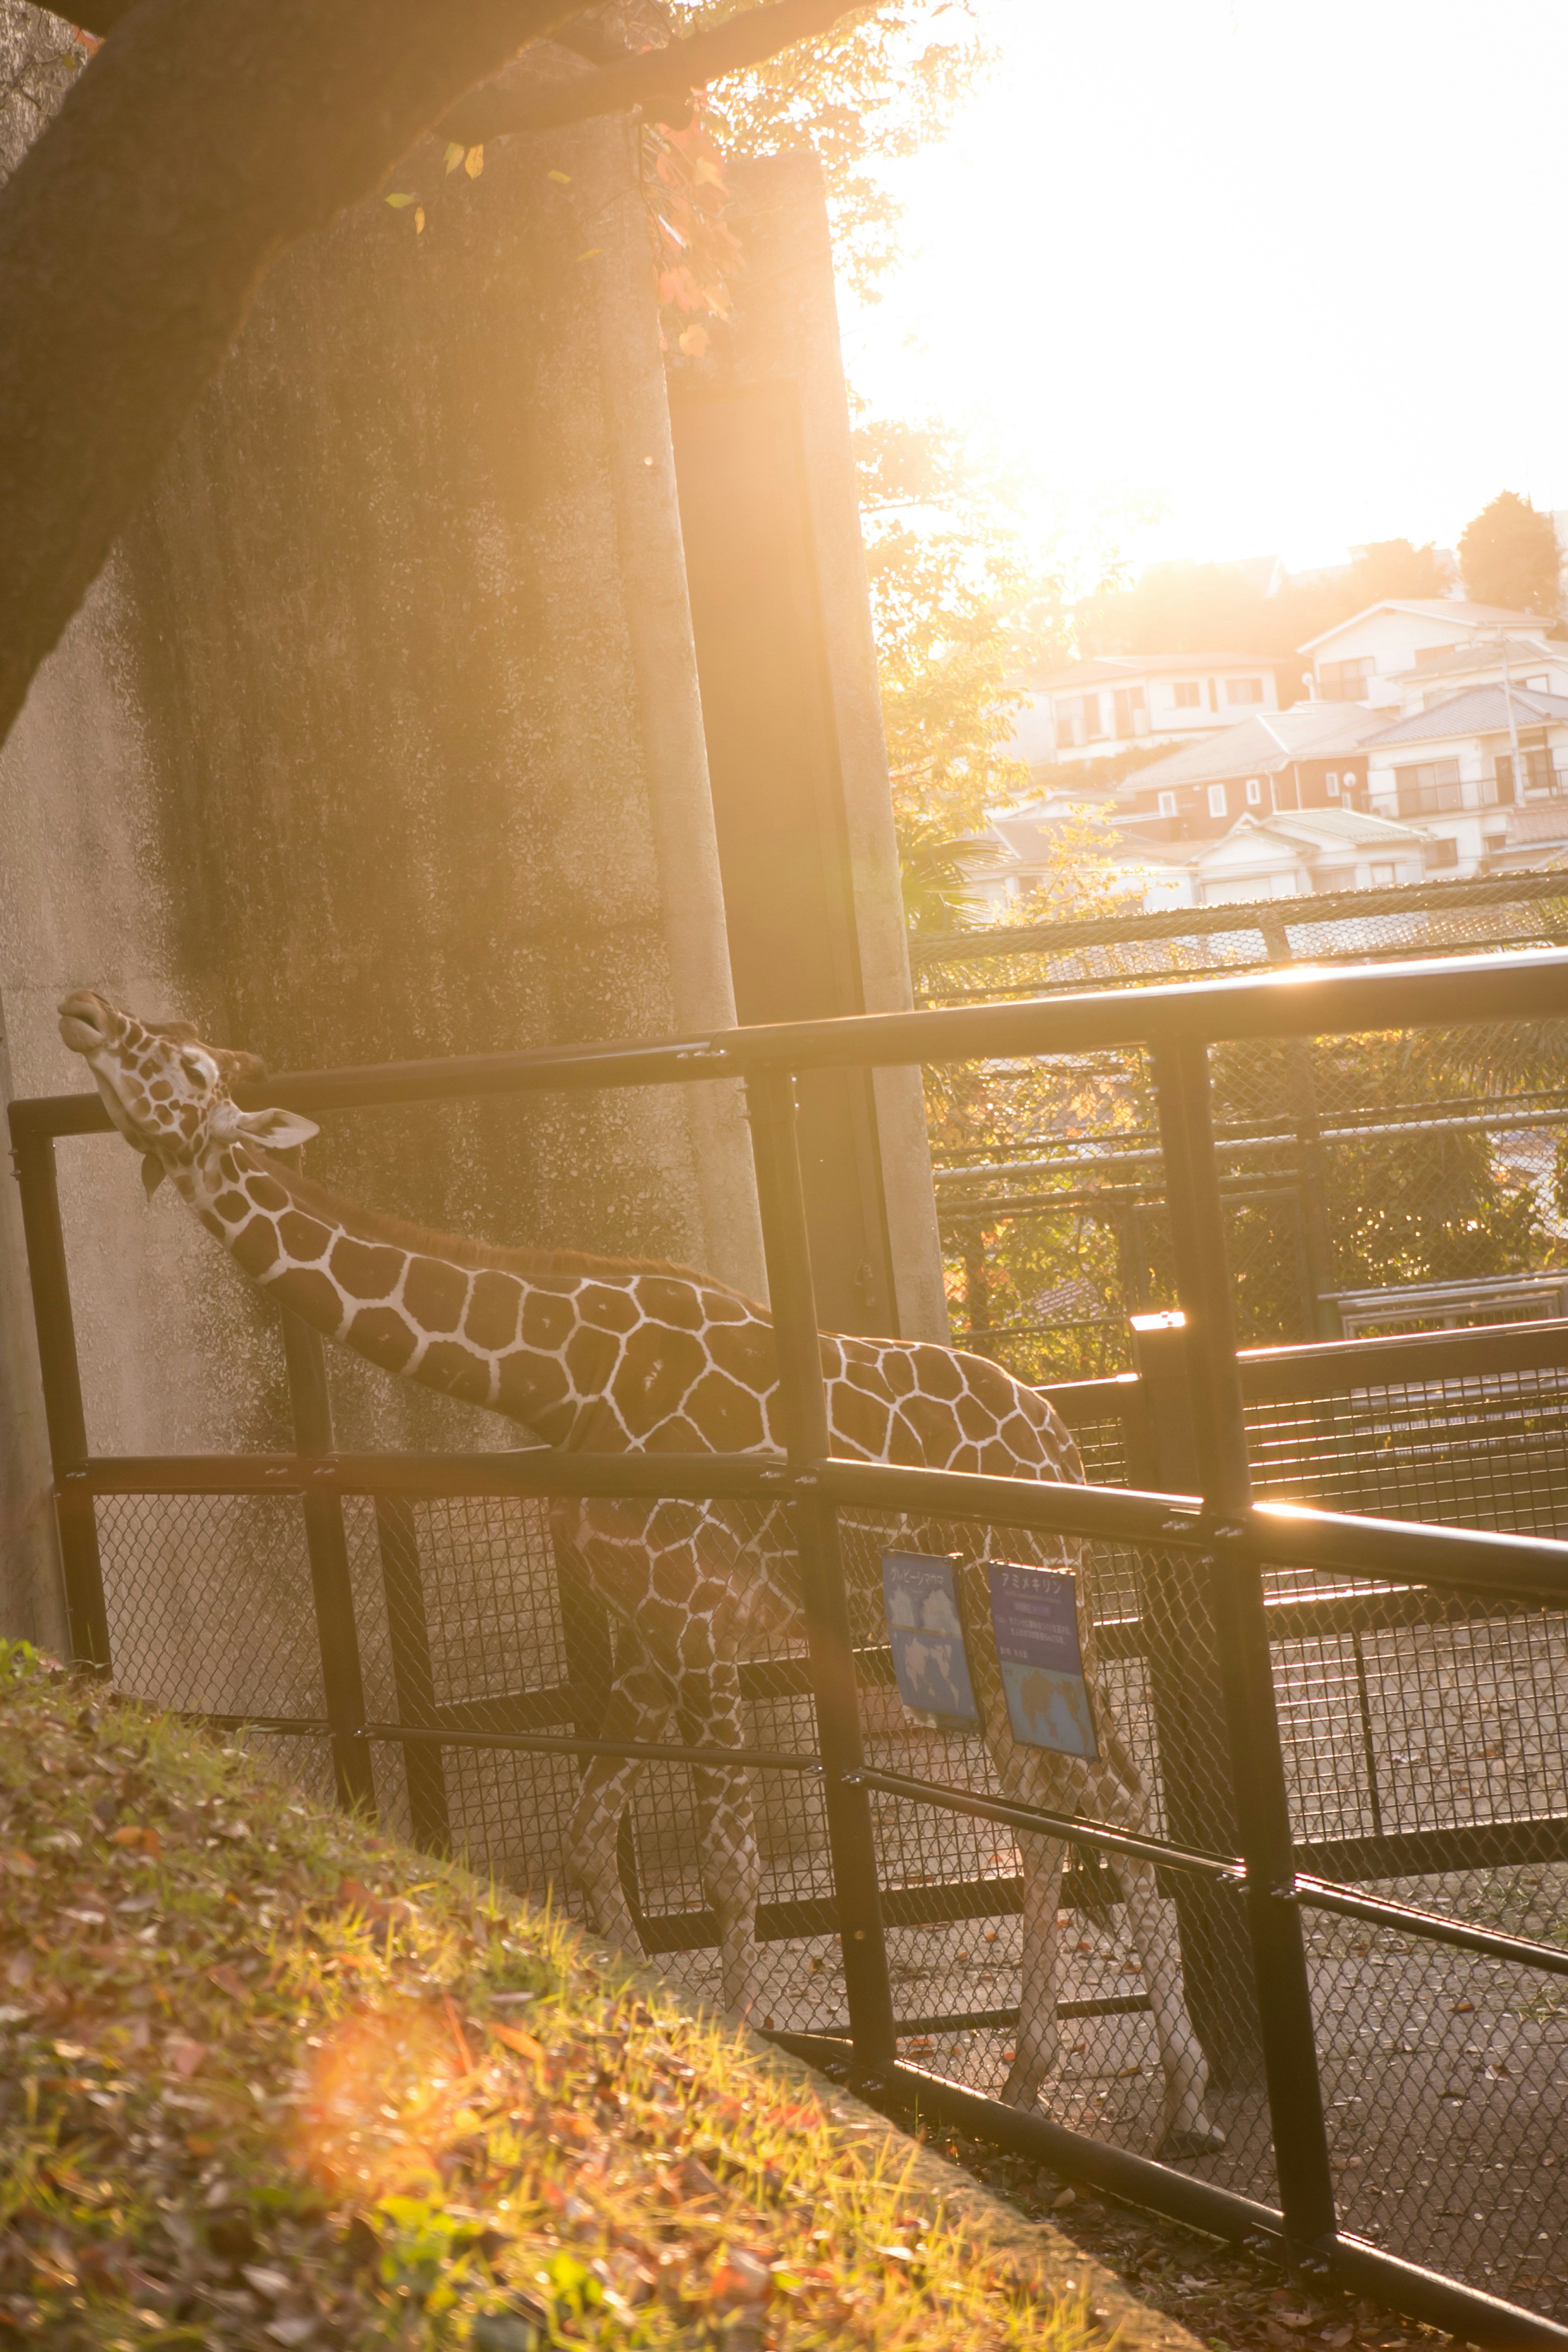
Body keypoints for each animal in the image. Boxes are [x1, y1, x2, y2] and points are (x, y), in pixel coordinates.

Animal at [58, 992, 1222, 2154]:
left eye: (190, 1065)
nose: (85, 1010)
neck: (564, 1375)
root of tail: (1064, 1443)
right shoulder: (643, 1632)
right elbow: (584, 1842)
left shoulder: (700, 1623)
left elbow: (727, 1863)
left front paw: (752, 2070)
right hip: (973, 1635)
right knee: (1046, 1806)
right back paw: (1033, 2074)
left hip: (1020, 1604)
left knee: (1109, 1795)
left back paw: (1188, 2097)